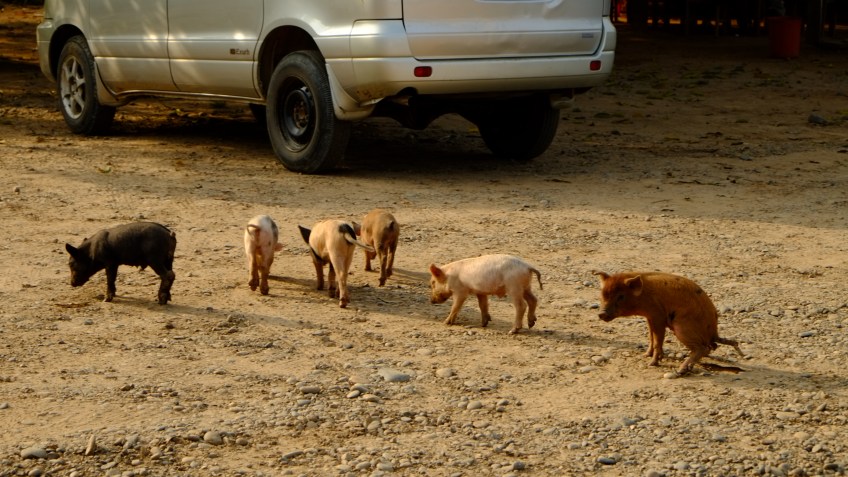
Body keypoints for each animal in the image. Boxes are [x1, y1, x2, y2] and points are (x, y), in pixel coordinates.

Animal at [594, 271, 745, 376]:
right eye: (603, 294)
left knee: (703, 348)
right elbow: (651, 337)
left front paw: (651, 364)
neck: (643, 297)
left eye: (621, 296)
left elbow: (657, 340)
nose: (601, 313)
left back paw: (680, 371)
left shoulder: (658, 316)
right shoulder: (650, 317)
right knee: (709, 348)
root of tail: (714, 333)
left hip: (682, 328)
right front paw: (645, 355)